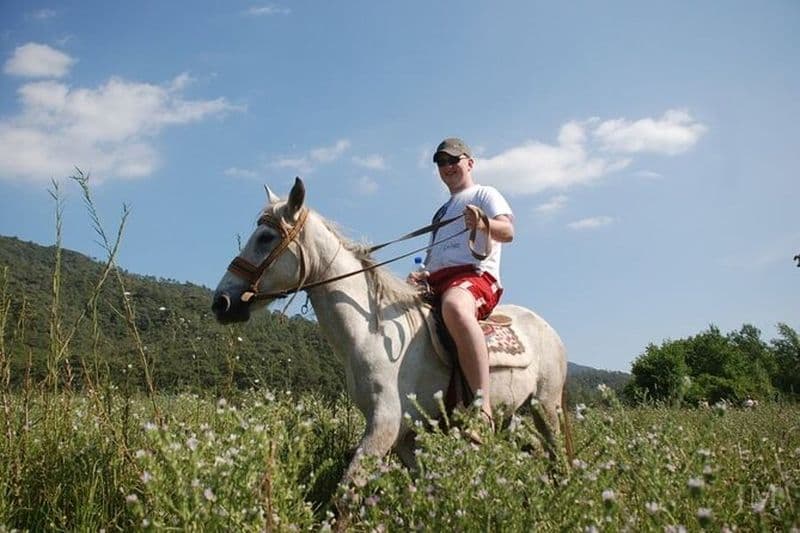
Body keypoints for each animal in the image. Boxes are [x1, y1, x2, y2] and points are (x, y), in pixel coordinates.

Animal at [212, 178, 569, 481]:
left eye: (265, 238)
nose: (221, 302)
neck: (370, 333)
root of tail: (549, 329)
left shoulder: (384, 426)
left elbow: (347, 492)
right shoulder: (406, 438)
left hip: (545, 406)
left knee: (558, 456)